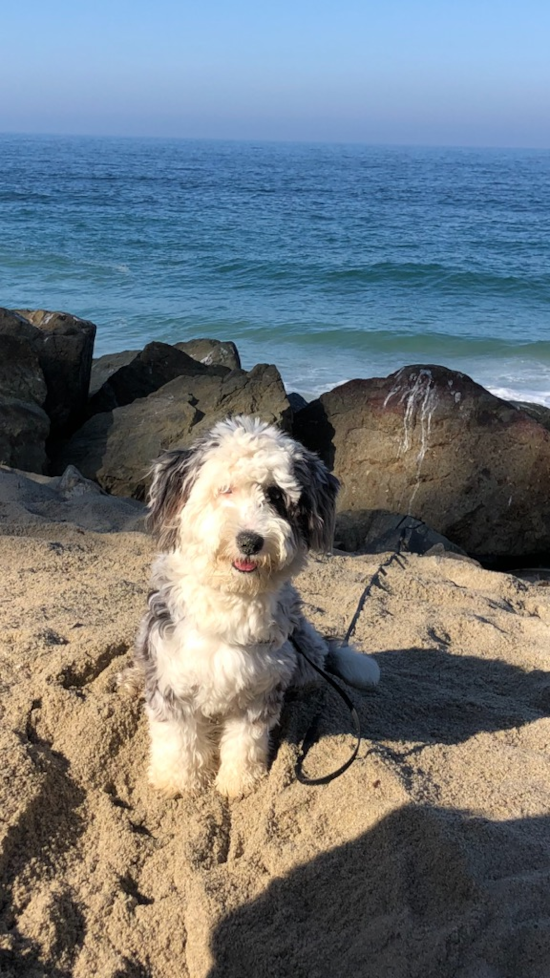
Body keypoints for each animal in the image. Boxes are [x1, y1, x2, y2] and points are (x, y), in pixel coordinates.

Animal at [127, 416, 382, 796]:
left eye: (275, 496)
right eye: (225, 490)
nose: (250, 541)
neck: (232, 599)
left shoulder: (260, 687)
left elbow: (245, 741)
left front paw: (239, 782)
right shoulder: (173, 675)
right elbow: (179, 738)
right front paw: (179, 780)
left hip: (302, 647)